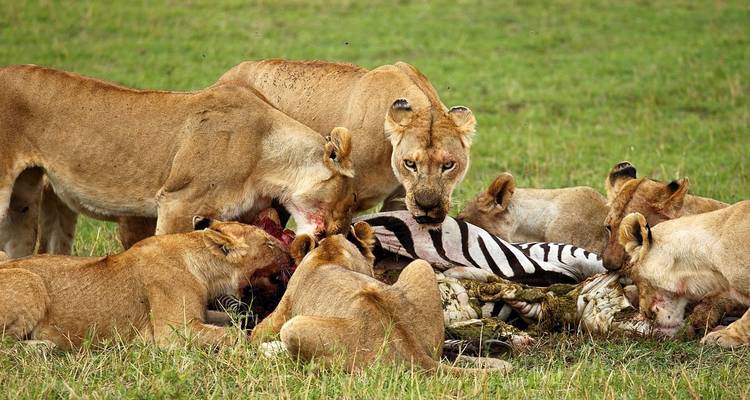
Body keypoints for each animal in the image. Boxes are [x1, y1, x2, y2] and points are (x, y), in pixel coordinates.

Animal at [0, 217, 290, 349]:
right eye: (270, 243)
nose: (290, 255)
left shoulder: (200, 315)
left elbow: (232, 320)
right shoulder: (173, 332)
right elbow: (233, 335)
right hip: (31, 282)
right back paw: (44, 347)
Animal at [217, 59, 476, 224]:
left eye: (449, 165)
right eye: (410, 163)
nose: (427, 206)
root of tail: (225, 76)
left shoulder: (400, 200)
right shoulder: (342, 202)